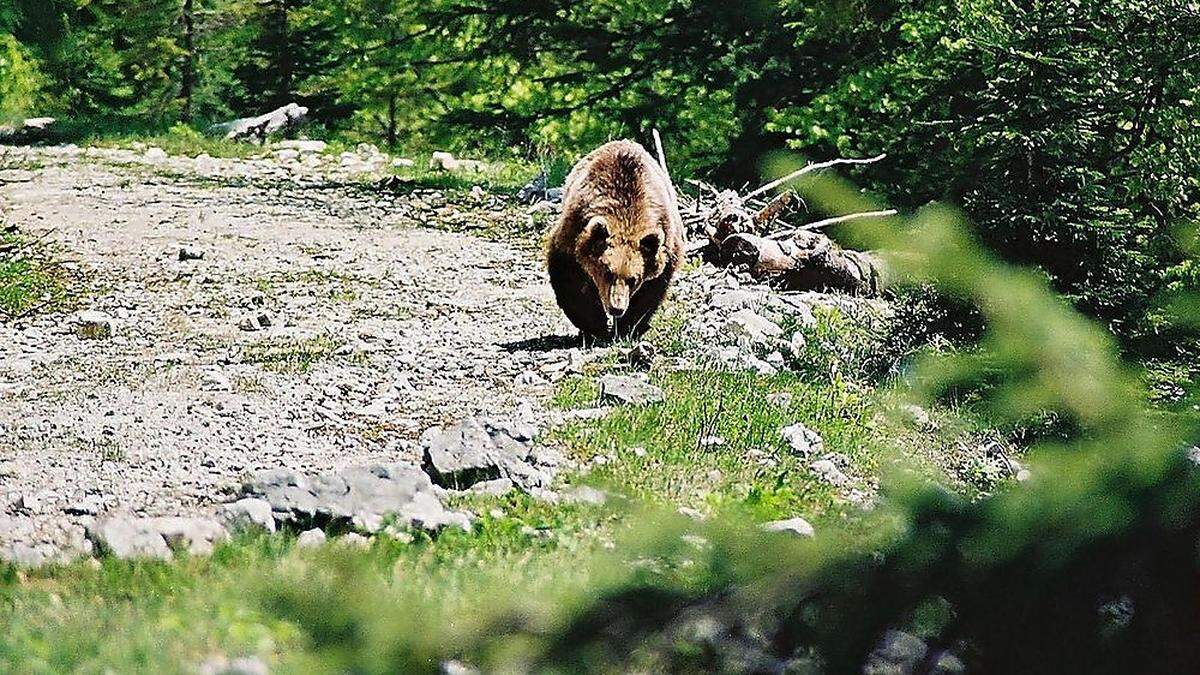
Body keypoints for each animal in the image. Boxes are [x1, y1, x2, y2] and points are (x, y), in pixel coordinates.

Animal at [547, 141, 686, 341]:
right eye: (607, 272)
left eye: (633, 279)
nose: (616, 308)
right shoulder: (574, 229)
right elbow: (571, 280)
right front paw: (595, 328)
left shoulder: (666, 241)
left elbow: (651, 290)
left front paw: (628, 327)